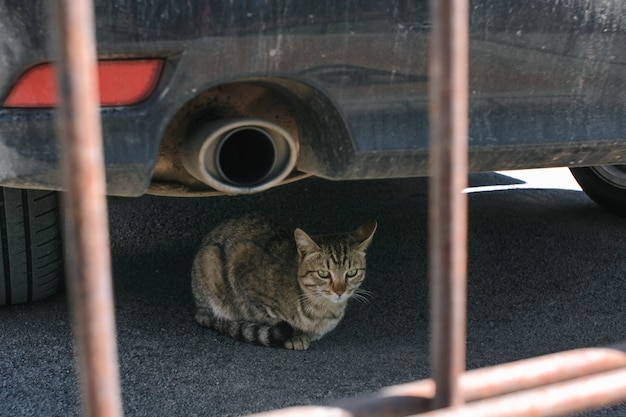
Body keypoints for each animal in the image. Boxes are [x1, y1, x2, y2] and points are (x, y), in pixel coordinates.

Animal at [190, 213, 376, 350]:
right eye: (323, 273)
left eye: (351, 273)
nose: (339, 291)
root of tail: (199, 311)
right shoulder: (240, 268)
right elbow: (272, 317)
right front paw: (295, 335)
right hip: (210, 258)